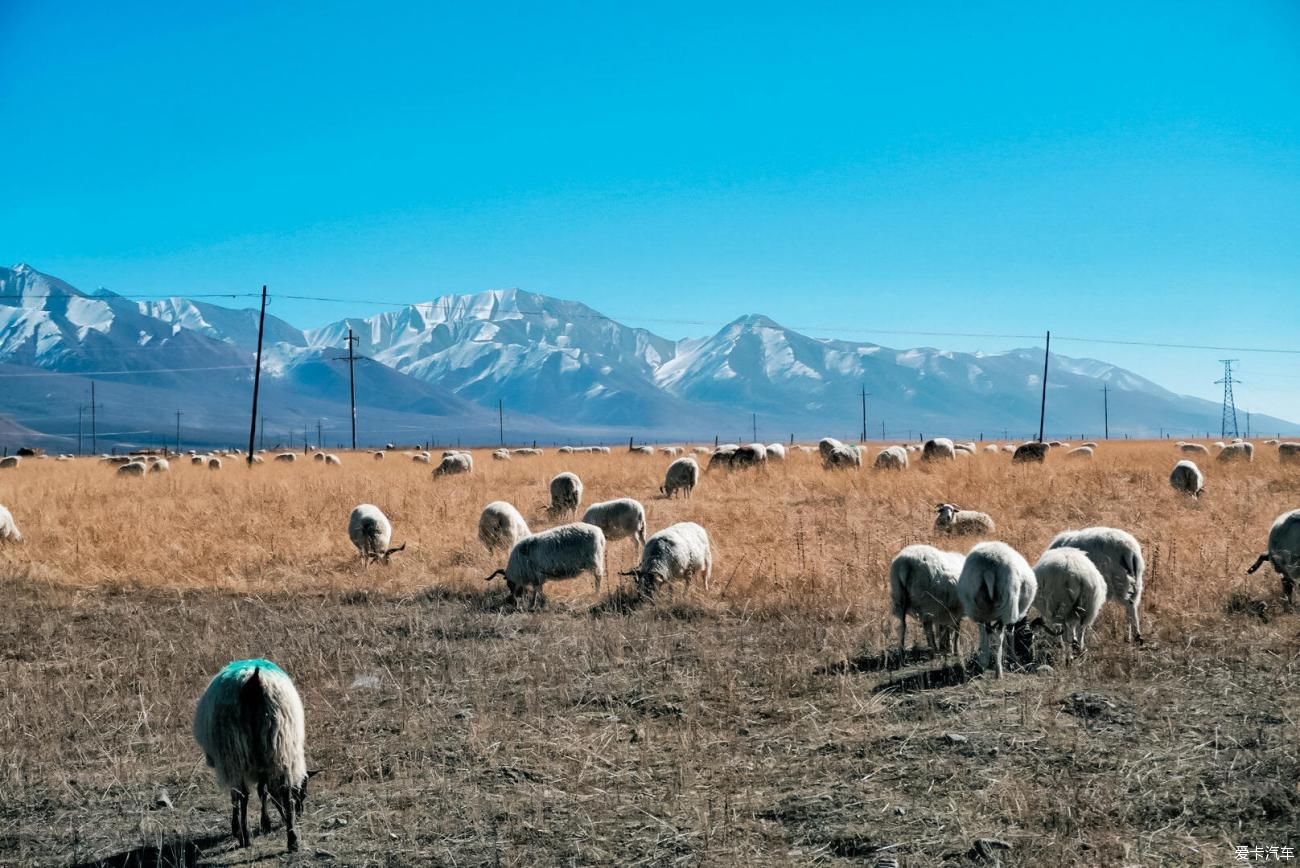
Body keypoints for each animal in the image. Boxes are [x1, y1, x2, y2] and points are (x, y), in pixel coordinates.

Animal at [192, 660, 312, 852]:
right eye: (302, 792)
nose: (300, 814)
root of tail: (254, 680)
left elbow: (238, 796)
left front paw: (238, 828)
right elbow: (263, 791)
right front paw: (266, 824)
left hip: (234, 749)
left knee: (242, 794)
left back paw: (245, 836)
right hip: (281, 741)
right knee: (284, 791)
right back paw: (292, 839)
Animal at [956, 543, 1034, 675]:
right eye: (1028, 640)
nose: (1030, 659)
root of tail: (989, 569)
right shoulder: (1012, 616)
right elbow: (1010, 633)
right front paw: (1013, 658)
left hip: (976, 607)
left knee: (985, 631)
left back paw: (983, 663)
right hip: (1007, 605)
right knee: (1000, 635)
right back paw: (999, 671)